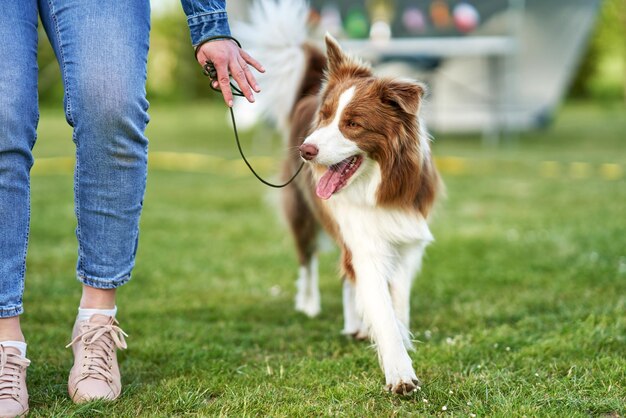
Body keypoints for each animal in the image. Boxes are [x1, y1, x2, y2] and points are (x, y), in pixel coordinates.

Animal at [234, 0, 438, 396]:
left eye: (353, 124)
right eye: (326, 117)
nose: (305, 151)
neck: (377, 184)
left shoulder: (405, 240)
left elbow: (397, 303)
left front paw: (398, 338)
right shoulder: (363, 240)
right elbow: (380, 306)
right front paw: (400, 372)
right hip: (302, 213)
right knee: (307, 260)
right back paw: (310, 303)